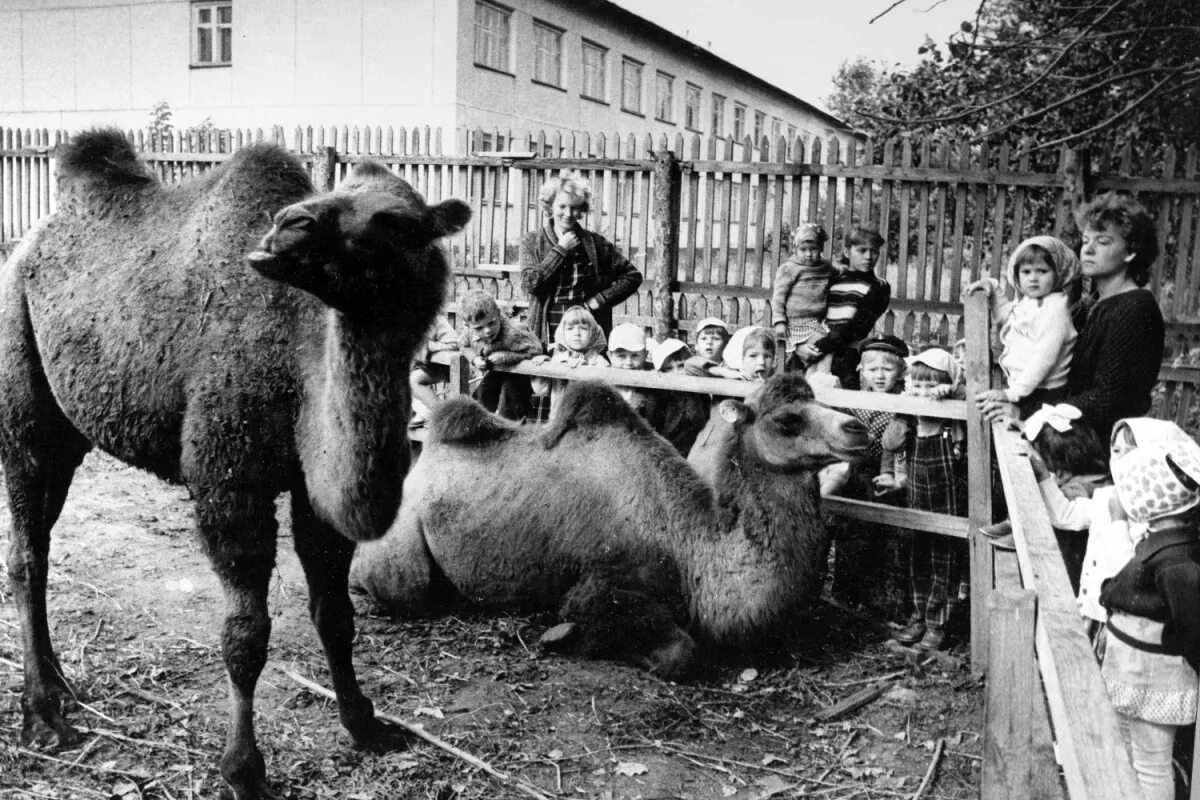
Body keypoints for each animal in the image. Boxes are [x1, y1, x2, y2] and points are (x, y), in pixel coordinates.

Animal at [0, 131, 468, 800]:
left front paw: (363, 722)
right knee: (25, 551)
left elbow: (335, 613)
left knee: (41, 535)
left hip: (70, 433)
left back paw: (58, 683)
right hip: (23, 399)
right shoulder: (228, 480)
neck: (300, 355)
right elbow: (246, 635)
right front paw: (244, 770)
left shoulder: (312, 490)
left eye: (396, 220)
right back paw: (42, 714)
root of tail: (29, 244)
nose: (288, 224)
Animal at [350, 376, 868, 676]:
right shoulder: (603, 581)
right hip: (402, 559)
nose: (858, 429)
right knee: (397, 585)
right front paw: (565, 637)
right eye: (787, 419)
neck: (693, 551)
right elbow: (680, 651)